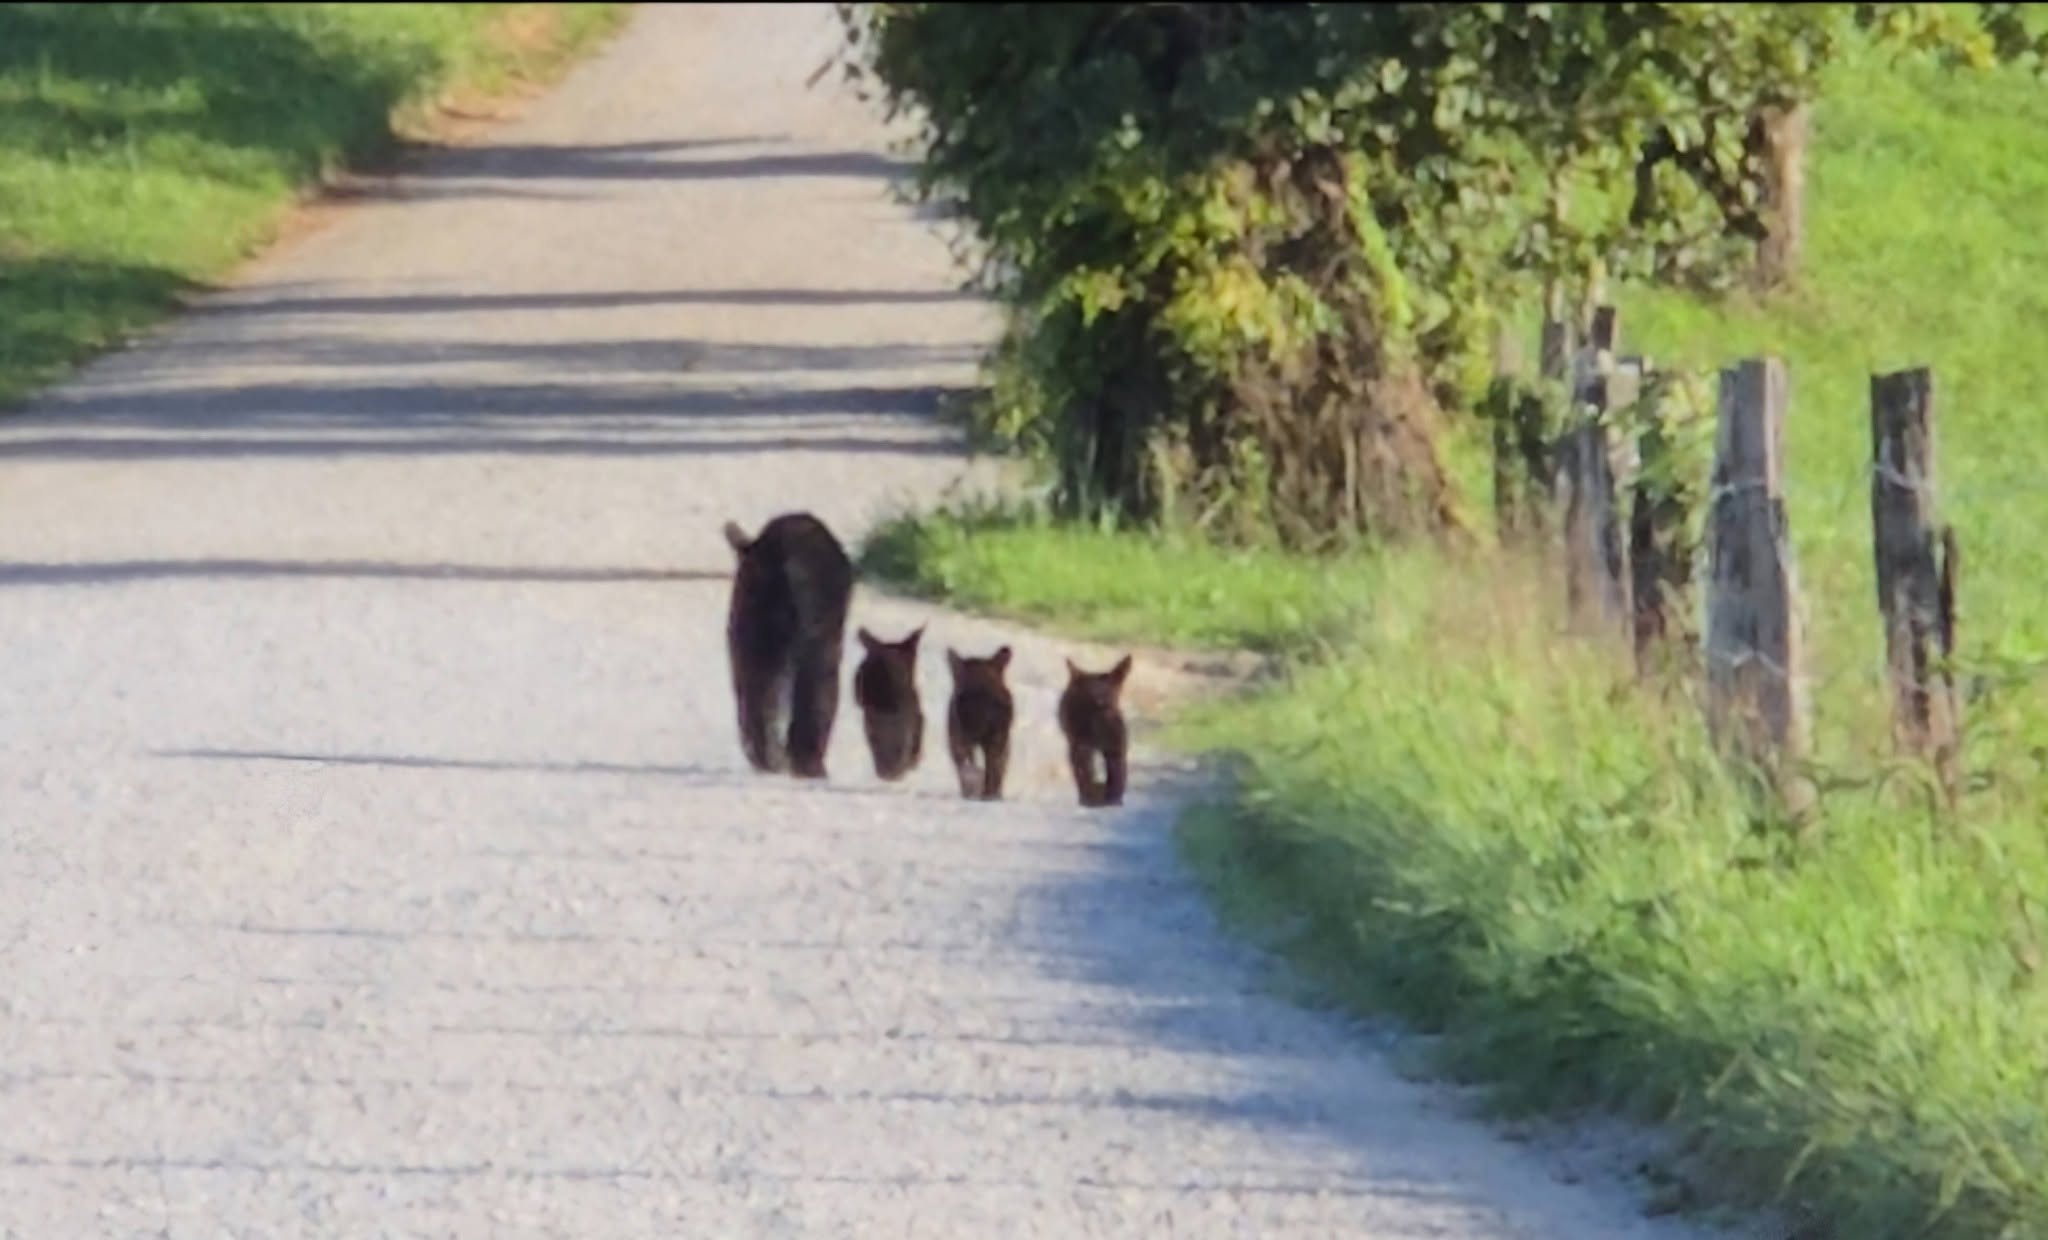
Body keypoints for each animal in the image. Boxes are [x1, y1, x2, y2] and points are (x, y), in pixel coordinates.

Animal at [722, 512, 855, 780]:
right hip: (815, 641)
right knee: (819, 687)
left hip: (751, 626)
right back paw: (805, 763)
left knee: (756, 686)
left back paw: (766, 756)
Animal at [1057, 653, 1133, 808]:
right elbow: (1085, 771)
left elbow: (1116, 772)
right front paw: (1090, 798)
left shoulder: (1114, 747)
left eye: (1108, 691)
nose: (1101, 701)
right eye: (1091, 692)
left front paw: (1112, 798)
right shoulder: (1082, 747)